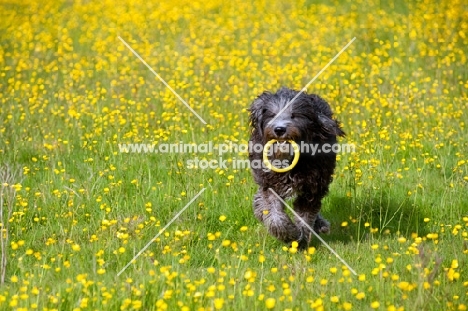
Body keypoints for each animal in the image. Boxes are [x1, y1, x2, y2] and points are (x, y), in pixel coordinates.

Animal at [249, 86, 344, 250]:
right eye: (272, 114)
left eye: (294, 115)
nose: (279, 129)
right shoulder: (269, 185)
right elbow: (273, 214)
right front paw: (290, 234)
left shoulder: (311, 188)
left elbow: (305, 217)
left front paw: (301, 240)